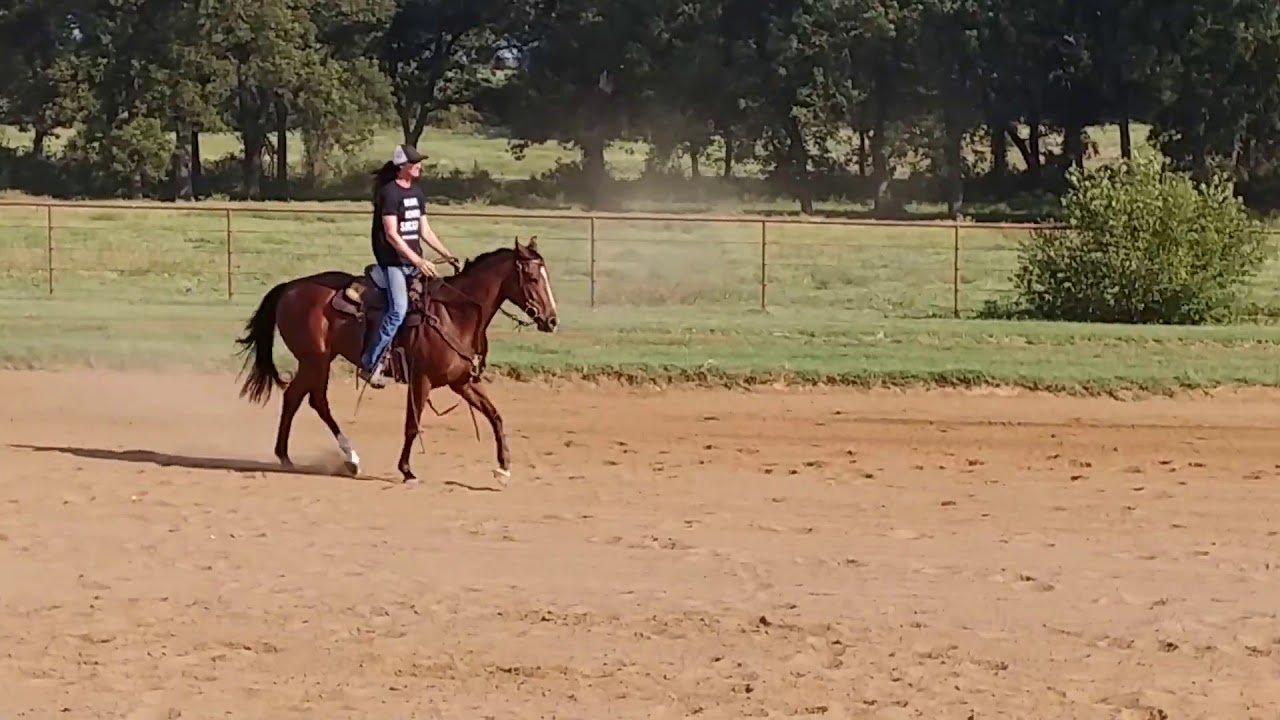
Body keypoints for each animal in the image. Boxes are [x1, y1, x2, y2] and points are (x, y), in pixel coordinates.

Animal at [232, 237, 559, 484]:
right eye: (532, 278)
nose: (552, 320)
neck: (454, 313)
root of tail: (291, 287)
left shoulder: (462, 382)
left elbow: (495, 416)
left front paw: (503, 469)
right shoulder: (420, 380)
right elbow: (412, 425)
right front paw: (407, 470)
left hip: (314, 361)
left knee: (296, 397)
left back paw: (289, 455)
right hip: (316, 360)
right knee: (315, 400)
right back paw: (346, 456)